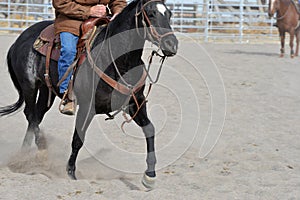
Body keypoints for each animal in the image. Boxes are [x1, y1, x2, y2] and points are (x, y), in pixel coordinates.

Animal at [0, 0, 178, 189]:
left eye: (169, 14)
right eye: (151, 14)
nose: (172, 44)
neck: (117, 61)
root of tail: (19, 39)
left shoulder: (135, 103)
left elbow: (150, 130)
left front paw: (150, 176)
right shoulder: (87, 107)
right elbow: (78, 139)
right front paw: (70, 173)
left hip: (46, 90)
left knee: (36, 116)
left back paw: (26, 154)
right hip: (29, 86)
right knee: (31, 114)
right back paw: (37, 149)